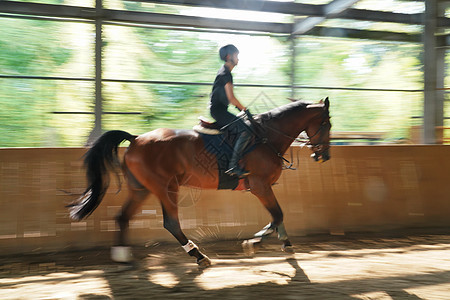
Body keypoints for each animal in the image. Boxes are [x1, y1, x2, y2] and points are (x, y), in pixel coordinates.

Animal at [67, 97, 330, 268]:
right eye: (326, 124)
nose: (323, 157)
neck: (267, 137)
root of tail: (136, 138)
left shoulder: (262, 188)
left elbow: (277, 217)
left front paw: (282, 243)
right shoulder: (260, 186)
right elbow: (277, 214)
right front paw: (254, 243)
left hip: (141, 189)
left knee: (122, 217)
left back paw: (122, 257)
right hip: (166, 188)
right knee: (171, 223)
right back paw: (199, 256)